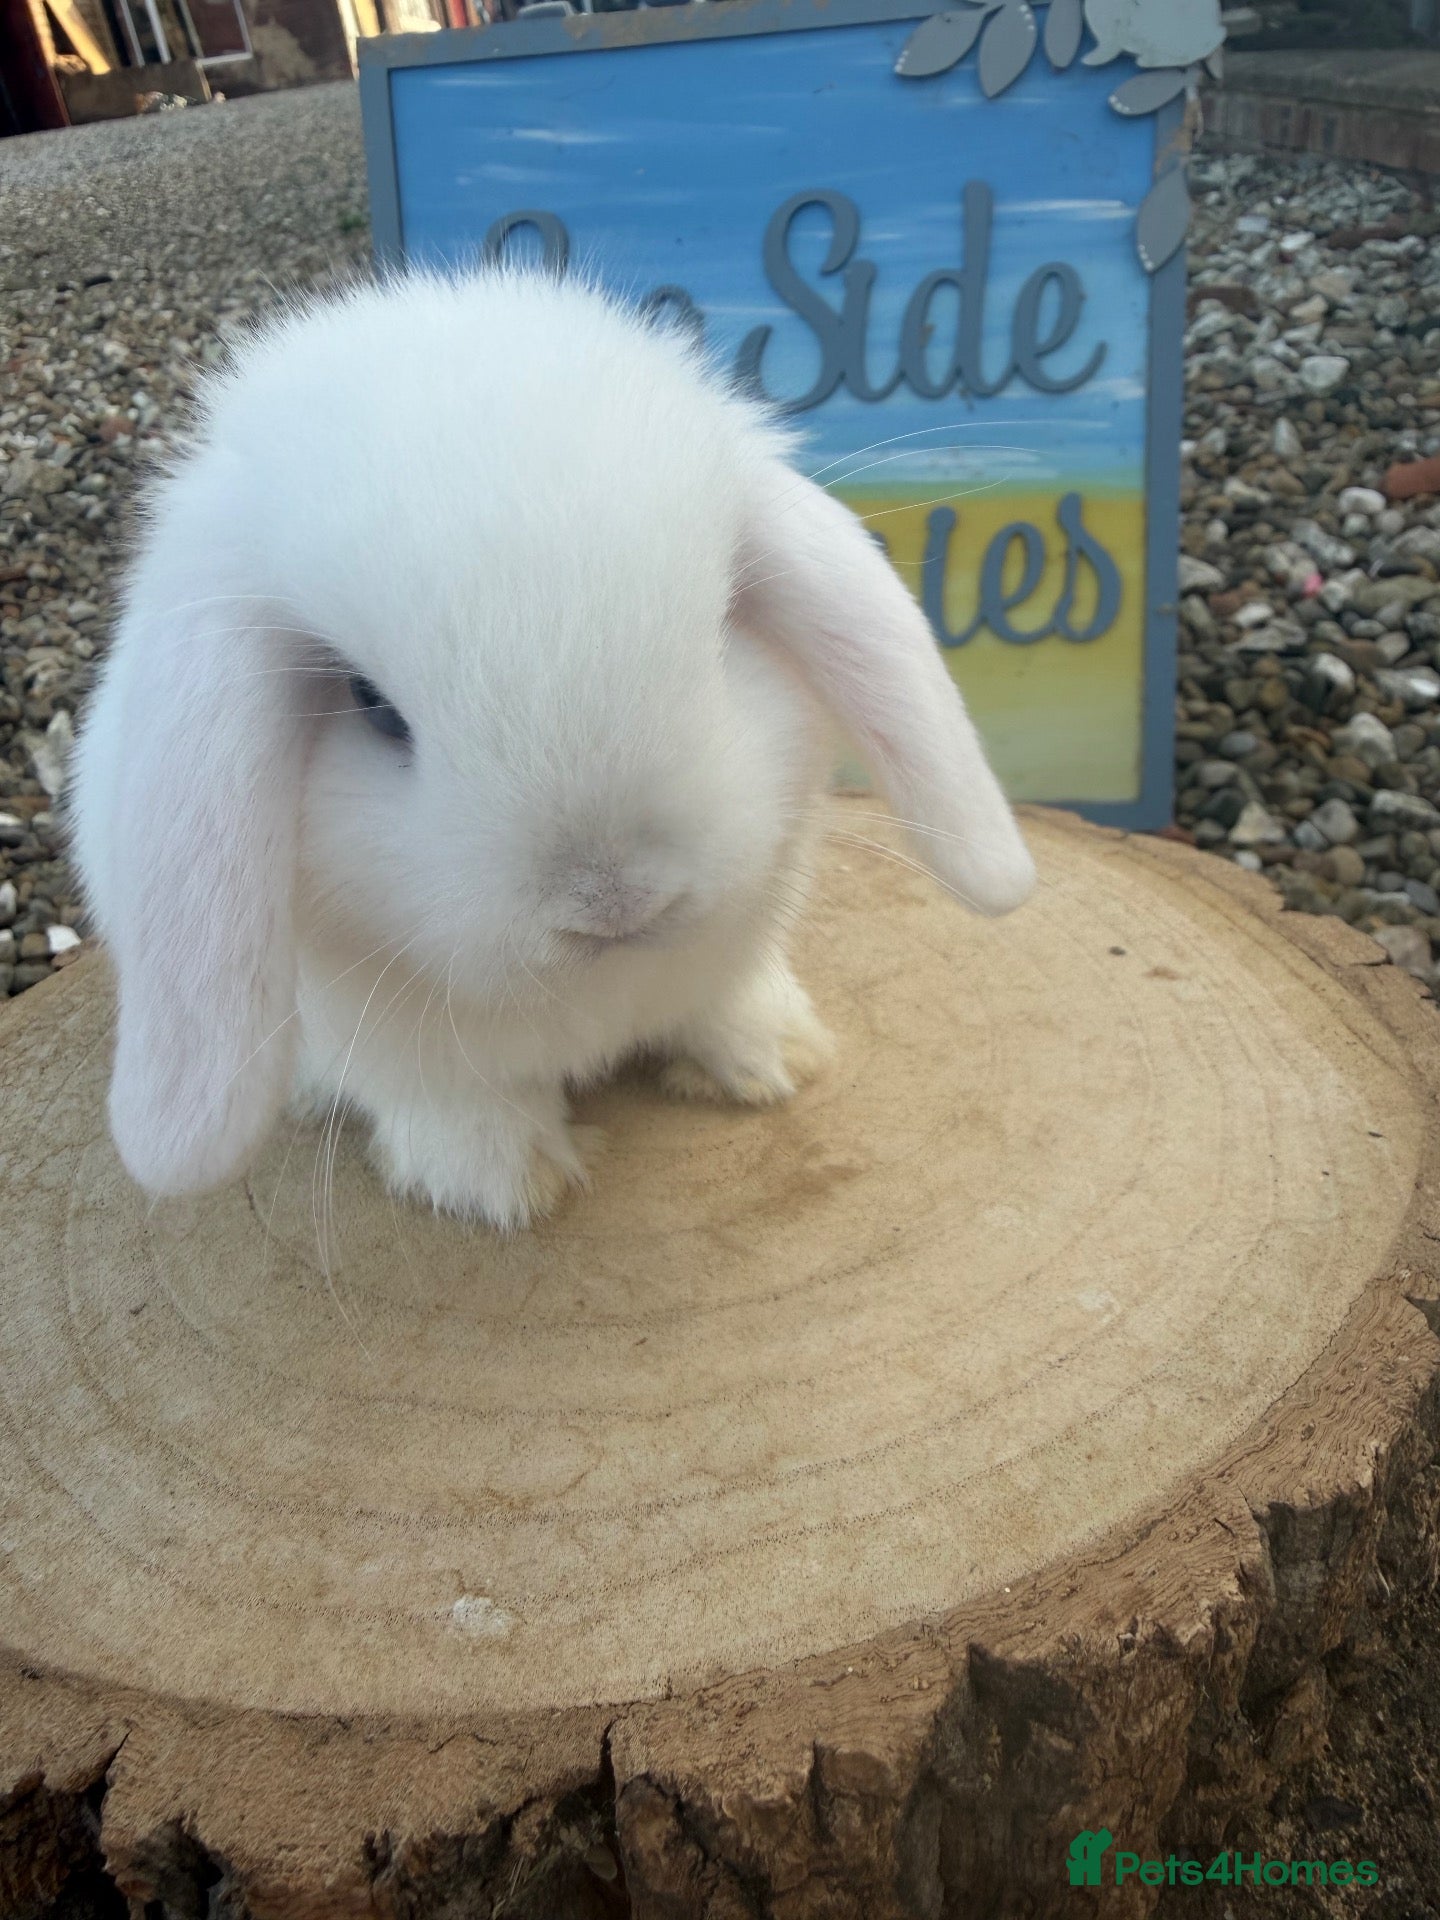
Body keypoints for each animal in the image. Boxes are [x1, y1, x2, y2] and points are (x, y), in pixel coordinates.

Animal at [68, 268, 1035, 1234]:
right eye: (371, 705)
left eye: (720, 626)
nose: (615, 901)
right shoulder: (378, 1034)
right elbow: (449, 1100)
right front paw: (506, 1184)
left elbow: (722, 1003)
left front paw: (774, 1063)